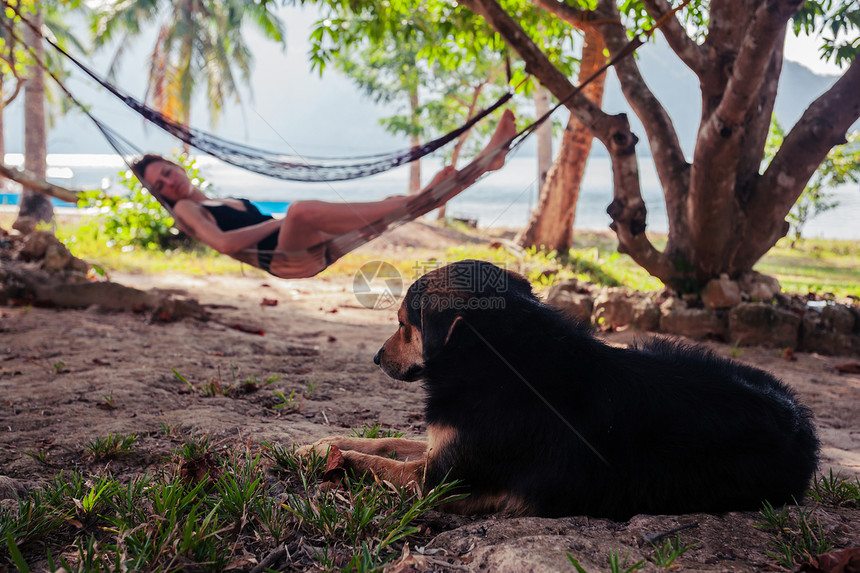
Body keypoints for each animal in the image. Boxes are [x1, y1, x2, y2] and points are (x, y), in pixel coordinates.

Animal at [300, 260, 820, 520]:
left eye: (403, 325)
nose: (375, 359)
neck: (502, 360)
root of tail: (803, 424)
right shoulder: (443, 447)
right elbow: (382, 442)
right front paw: (321, 443)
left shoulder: (439, 480)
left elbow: (373, 462)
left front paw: (328, 456)